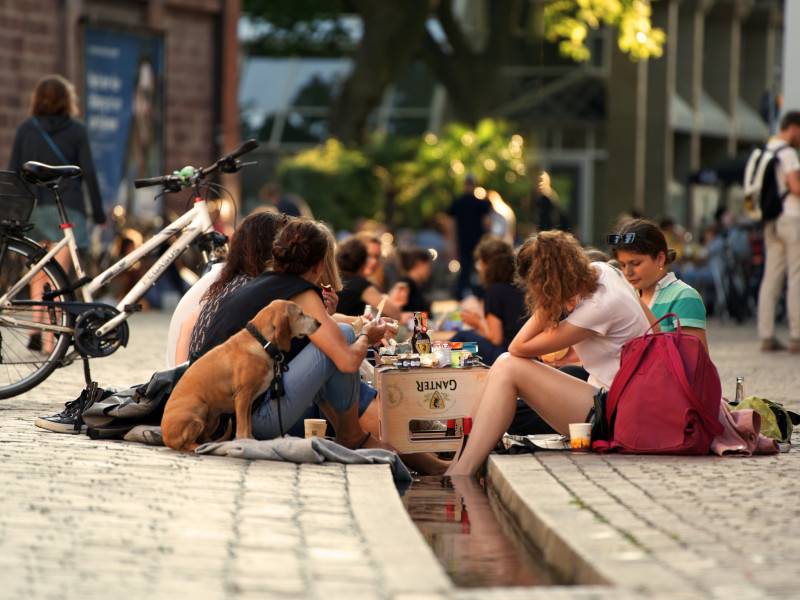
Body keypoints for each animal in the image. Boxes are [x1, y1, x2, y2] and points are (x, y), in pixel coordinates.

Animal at [161, 300, 320, 450]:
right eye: (300, 313)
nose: (319, 322)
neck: (261, 342)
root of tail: (166, 438)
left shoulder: (249, 400)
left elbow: (248, 426)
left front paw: (251, 441)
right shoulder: (242, 396)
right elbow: (242, 427)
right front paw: (243, 442)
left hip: (213, 419)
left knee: (202, 439)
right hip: (199, 414)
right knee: (188, 445)